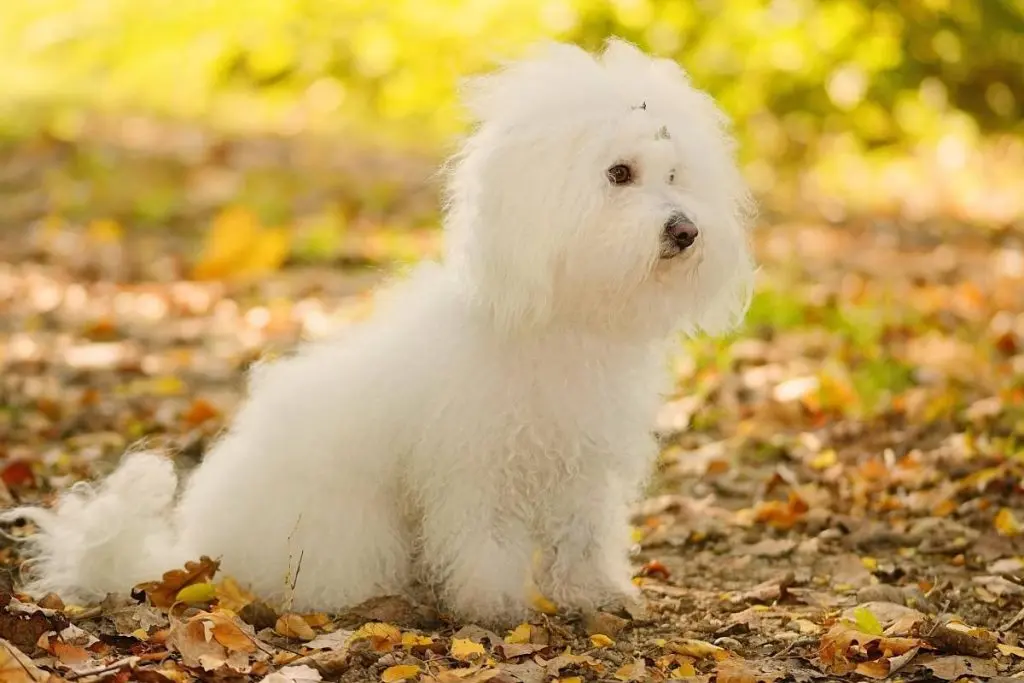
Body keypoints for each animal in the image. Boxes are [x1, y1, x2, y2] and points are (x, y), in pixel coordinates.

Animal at [0, 37, 753, 626]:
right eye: (619, 174)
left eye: (675, 174)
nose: (685, 230)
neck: (560, 319)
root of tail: (193, 550)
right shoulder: (474, 469)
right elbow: (484, 543)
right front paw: (495, 607)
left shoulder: (584, 468)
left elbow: (586, 539)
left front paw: (598, 596)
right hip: (346, 526)